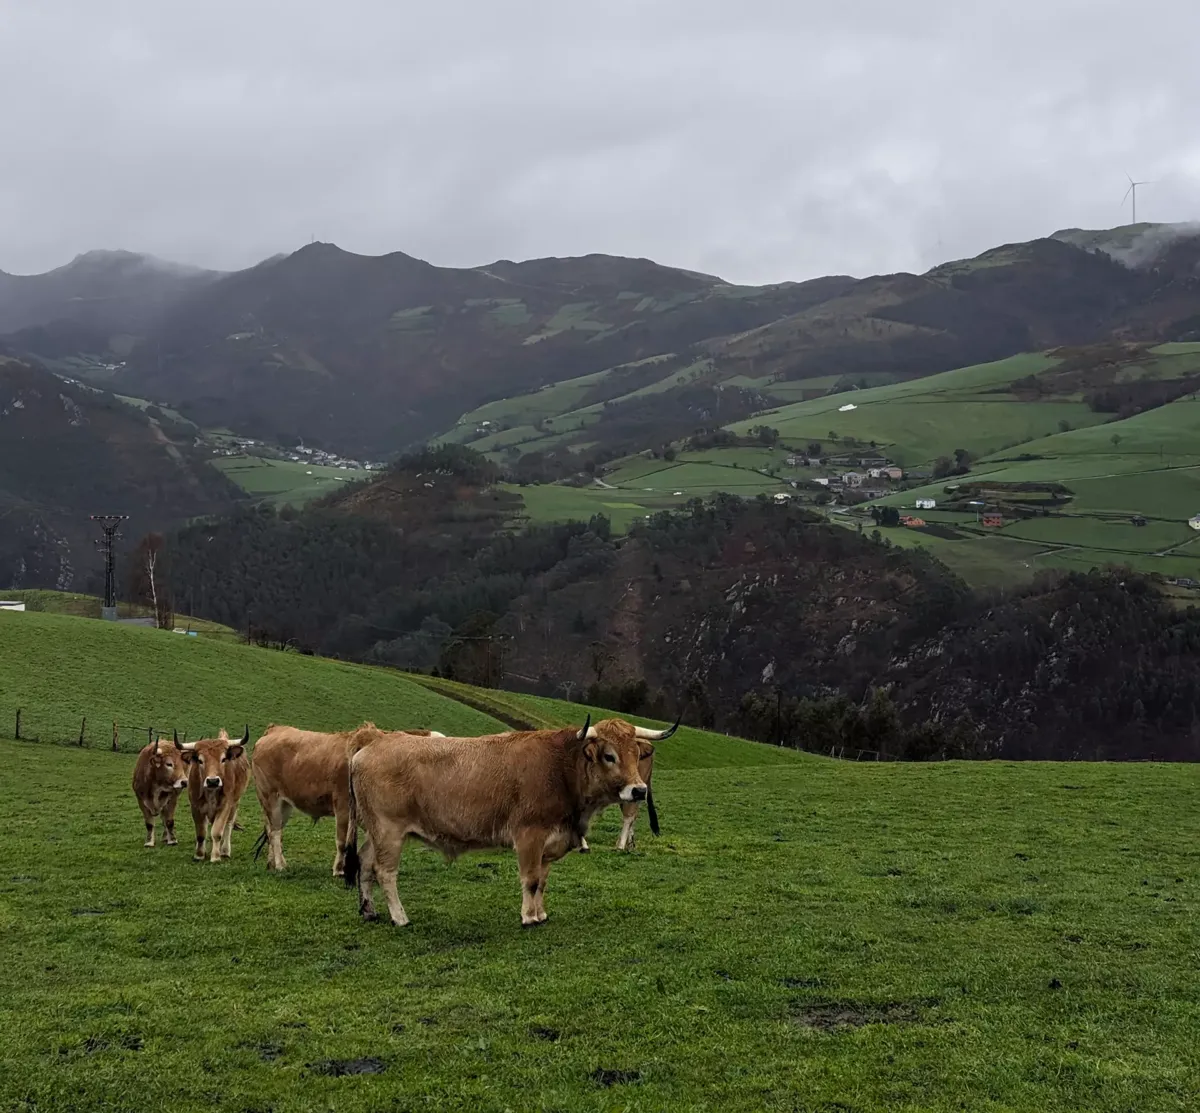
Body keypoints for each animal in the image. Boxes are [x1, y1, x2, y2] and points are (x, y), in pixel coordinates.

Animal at [178, 724, 249, 863]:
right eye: (200, 760)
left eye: (223, 759)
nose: (213, 781)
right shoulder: (196, 806)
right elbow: (201, 833)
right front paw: (199, 854)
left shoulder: (225, 806)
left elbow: (217, 832)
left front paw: (215, 856)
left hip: (235, 804)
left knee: (228, 826)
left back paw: (225, 851)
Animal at [252, 719, 446, 877]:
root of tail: (274, 730)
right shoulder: (343, 806)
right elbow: (342, 841)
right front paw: (339, 870)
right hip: (270, 797)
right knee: (275, 832)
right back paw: (279, 865)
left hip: (284, 803)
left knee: (272, 830)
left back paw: (272, 862)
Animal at [348, 714, 681, 930]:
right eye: (609, 756)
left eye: (636, 753)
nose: (638, 790)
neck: (561, 767)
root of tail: (373, 741)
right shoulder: (529, 836)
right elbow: (530, 879)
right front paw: (529, 917)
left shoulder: (549, 841)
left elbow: (542, 882)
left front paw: (541, 913)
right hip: (389, 831)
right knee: (385, 872)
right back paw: (400, 917)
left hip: (375, 833)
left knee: (365, 863)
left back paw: (369, 910)